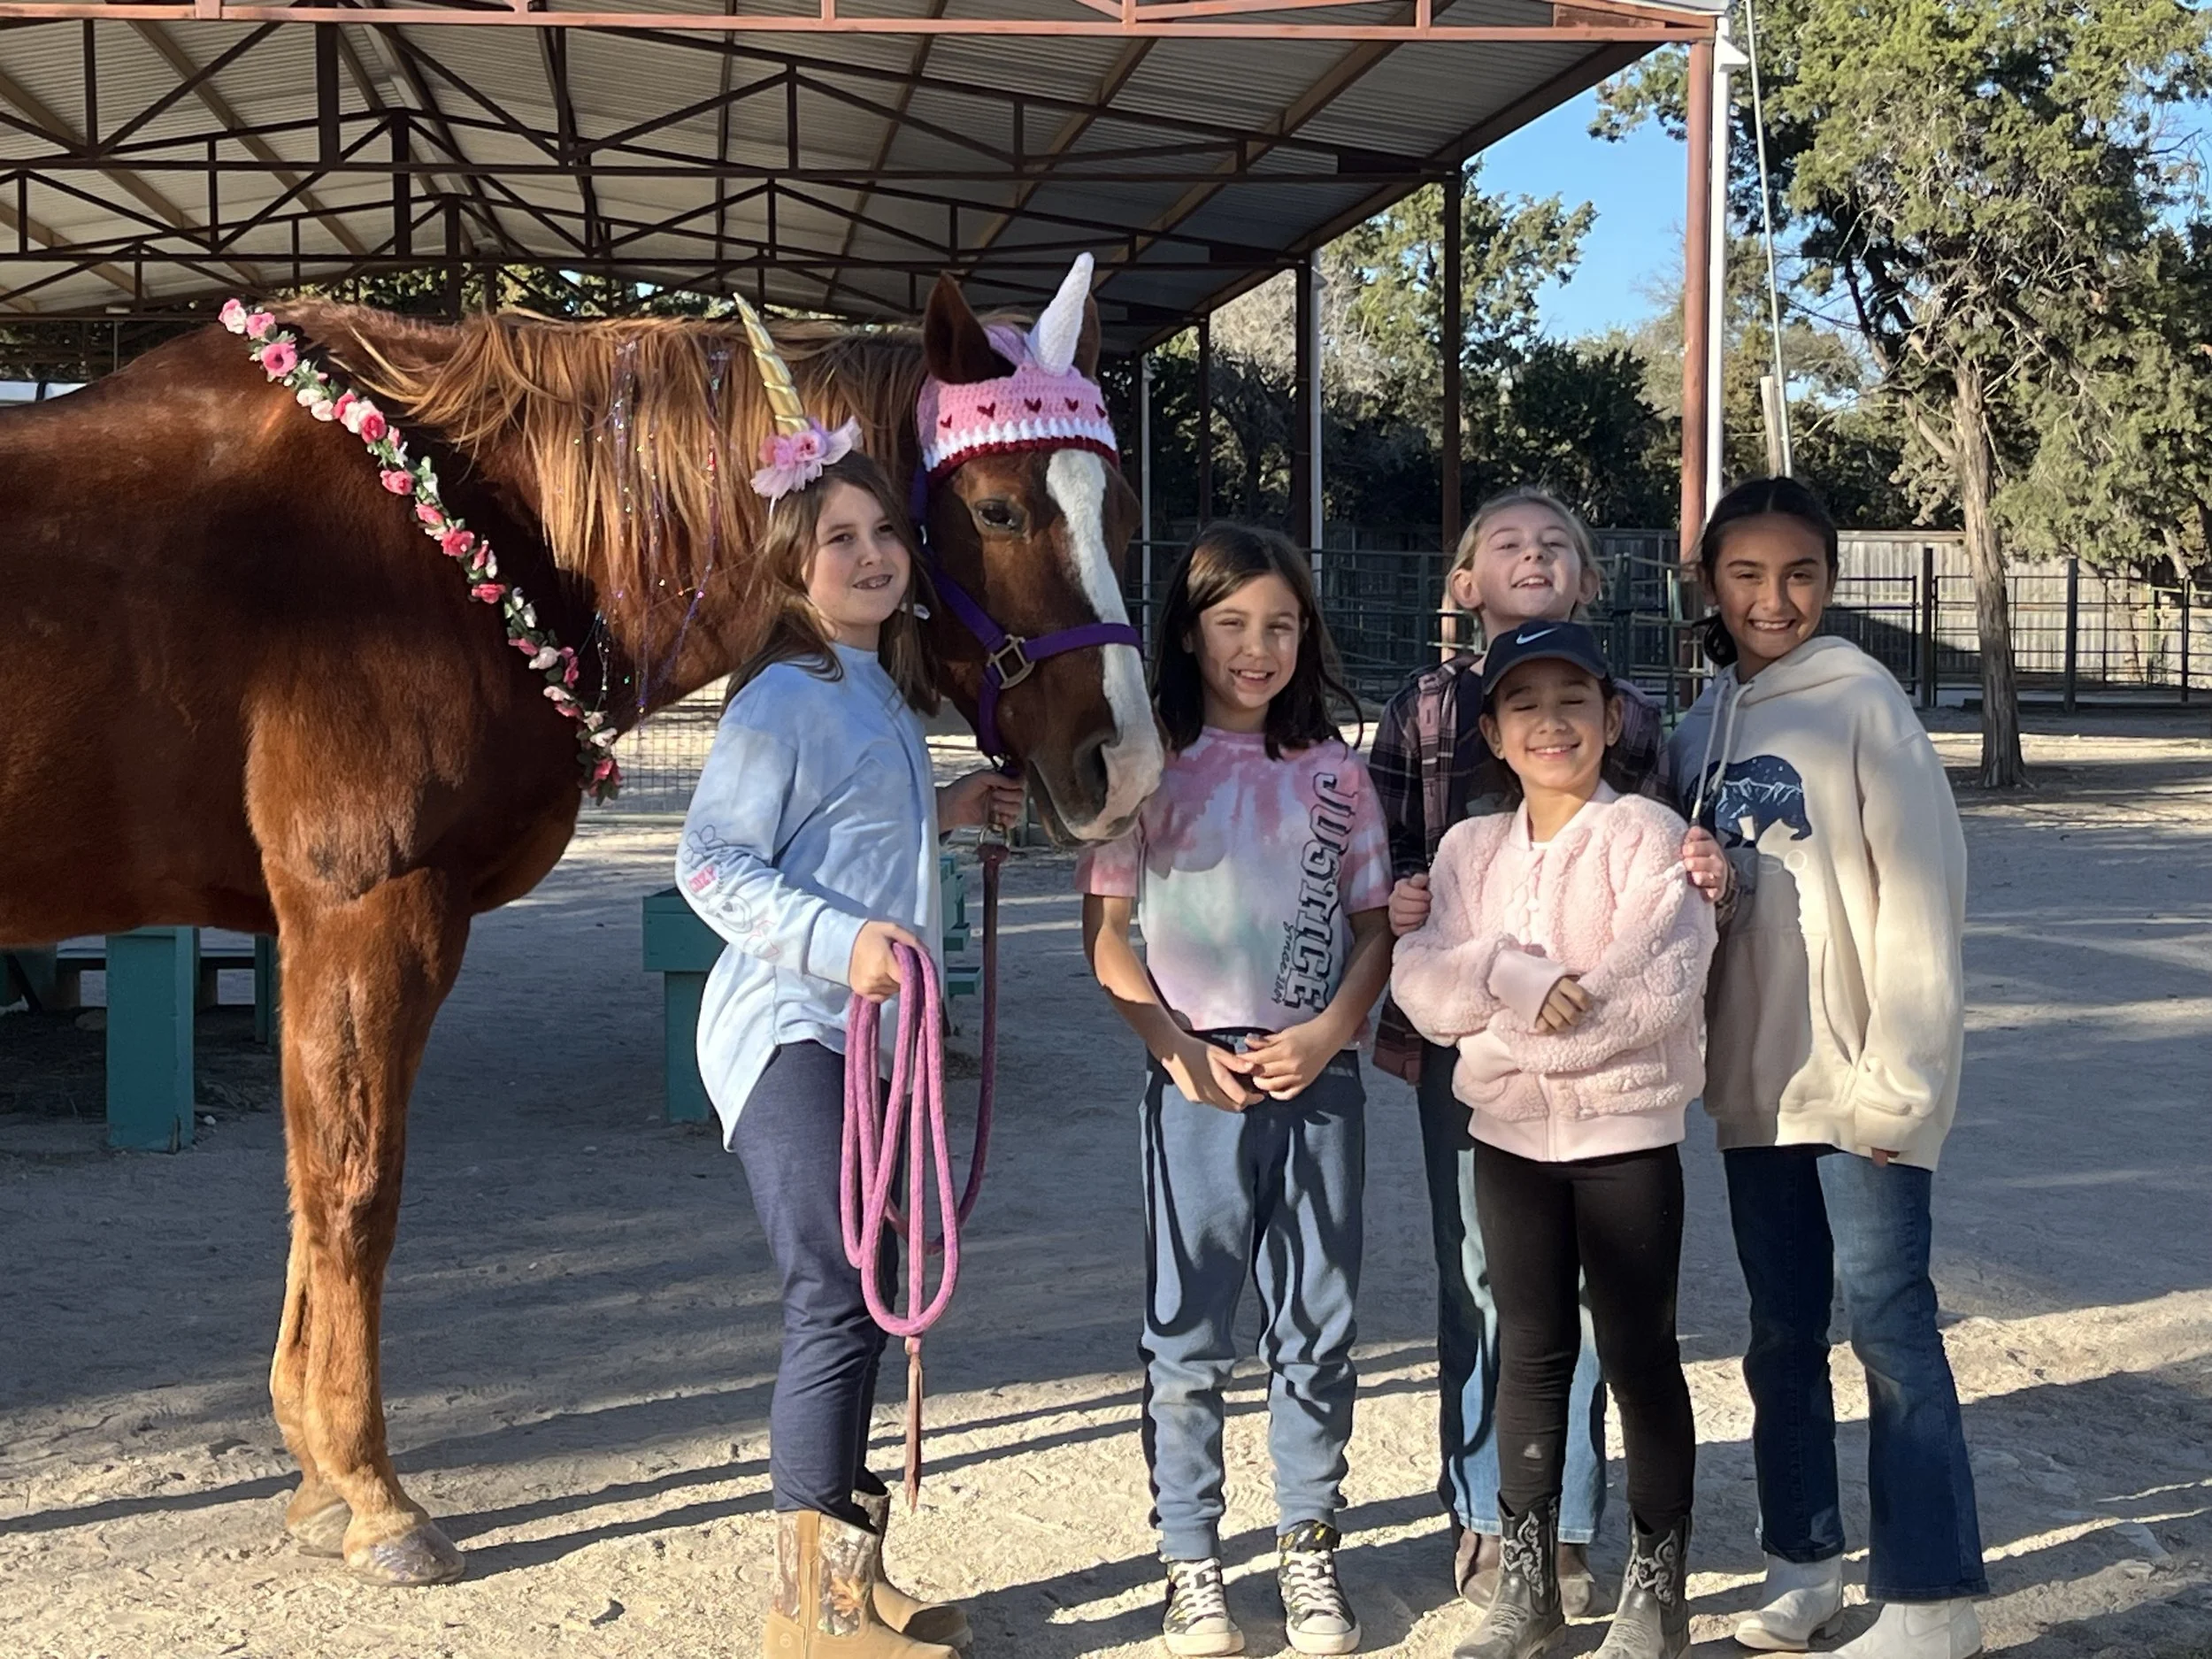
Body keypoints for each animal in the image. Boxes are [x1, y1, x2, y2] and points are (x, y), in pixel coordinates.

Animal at [0, 260, 1163, 1585]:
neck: (440, 534)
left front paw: (315, 1476)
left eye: (1124, 512)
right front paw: (370, 1488)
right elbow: (354, 1187)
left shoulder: (320, 927)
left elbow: (311, 1180)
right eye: (1005, 510)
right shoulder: (368, 908)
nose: (1125, 764)